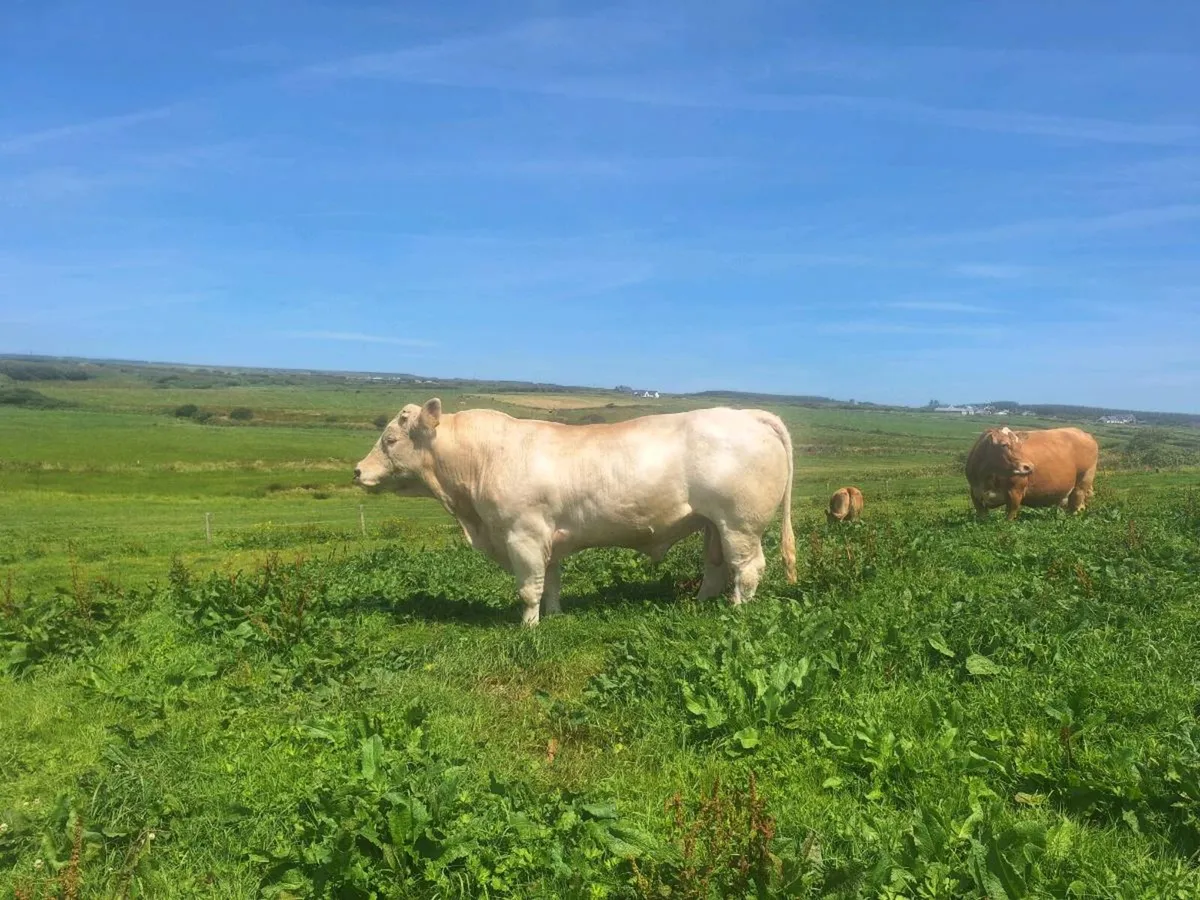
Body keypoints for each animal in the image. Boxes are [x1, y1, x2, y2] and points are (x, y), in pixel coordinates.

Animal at [354, 399, 797, 626]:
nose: (357, 470)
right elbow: (550, 582)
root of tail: (747, 413)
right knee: (716, 567)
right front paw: (554, 616)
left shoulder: (523, 535)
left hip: (739, 522)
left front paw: (528, 628)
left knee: (747, 568)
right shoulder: (546, 538)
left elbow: (528, 588)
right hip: (712, 525)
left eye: (390, 439)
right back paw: (701, 605)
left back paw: (737, 613)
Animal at [965, 425, 1099, 521]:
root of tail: (1083, 433)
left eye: (1020, 445)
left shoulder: (1015, 492)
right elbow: (983, 518)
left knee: (1076, 504)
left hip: (1083, 480)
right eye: (1004, 445)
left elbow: (1009, 518)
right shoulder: (975, 493)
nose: (1028, 467)